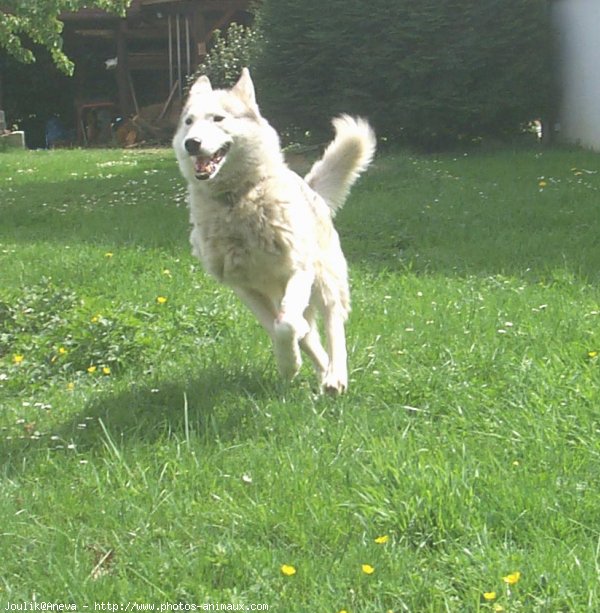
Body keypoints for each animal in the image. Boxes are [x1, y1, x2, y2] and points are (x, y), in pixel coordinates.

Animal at [173, 68, 378, 392]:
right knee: (310, 334)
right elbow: (278, 328)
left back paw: (335, 375)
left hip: (324, 279)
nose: (191, 143)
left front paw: (292, 361)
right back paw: (322, 370)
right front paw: (289, 363)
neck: (237, 200)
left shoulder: (299, 270)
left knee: (333, 323)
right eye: (189, 122)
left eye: (218, 118)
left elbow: (286, 325)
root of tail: (309, 187)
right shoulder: (243, 287)